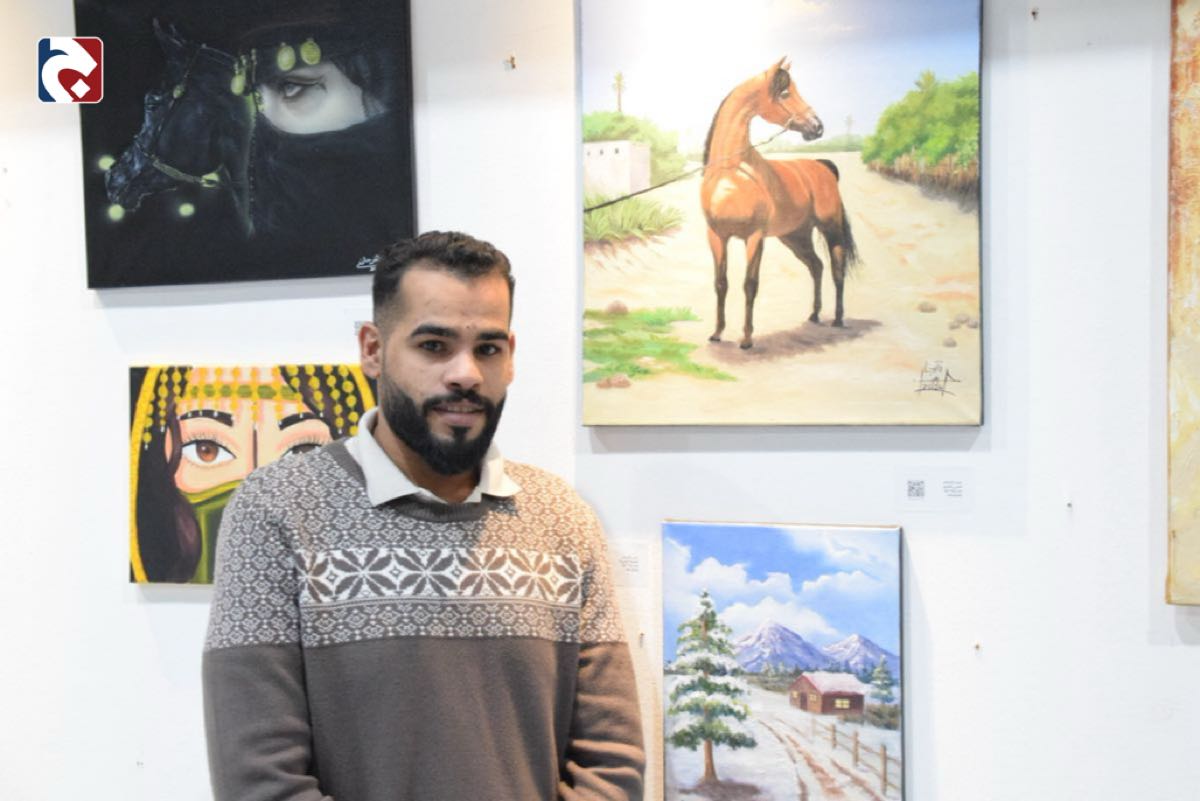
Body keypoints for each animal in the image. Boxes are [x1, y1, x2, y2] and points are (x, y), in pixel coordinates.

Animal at [700, 57, 858, 349]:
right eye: (785, 93)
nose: (817, 127)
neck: (733, 173)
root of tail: (823, 166)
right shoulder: (716, 236)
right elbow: (721, 283)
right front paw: (717, 333)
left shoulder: (754, 237)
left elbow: (750, 284)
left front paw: (746, 338)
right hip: (796, 236)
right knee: (816, 266)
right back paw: (814, 315)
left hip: (830, 229)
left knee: (837, 270)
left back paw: (838, 319)